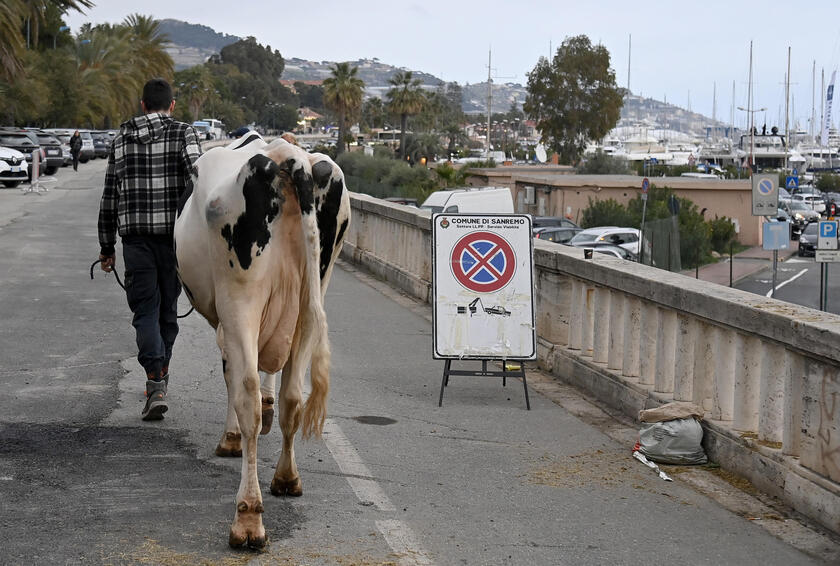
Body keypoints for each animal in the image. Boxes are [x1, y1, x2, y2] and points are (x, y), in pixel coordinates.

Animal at [176, 134, 350, 552]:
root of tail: (290, 157)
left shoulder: (226, 323)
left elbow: (232, 376)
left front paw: (229, 440)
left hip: (241, 299)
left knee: (248, 396)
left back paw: (248, 518)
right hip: (312, 297)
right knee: (293, 396)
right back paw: (286, 479)